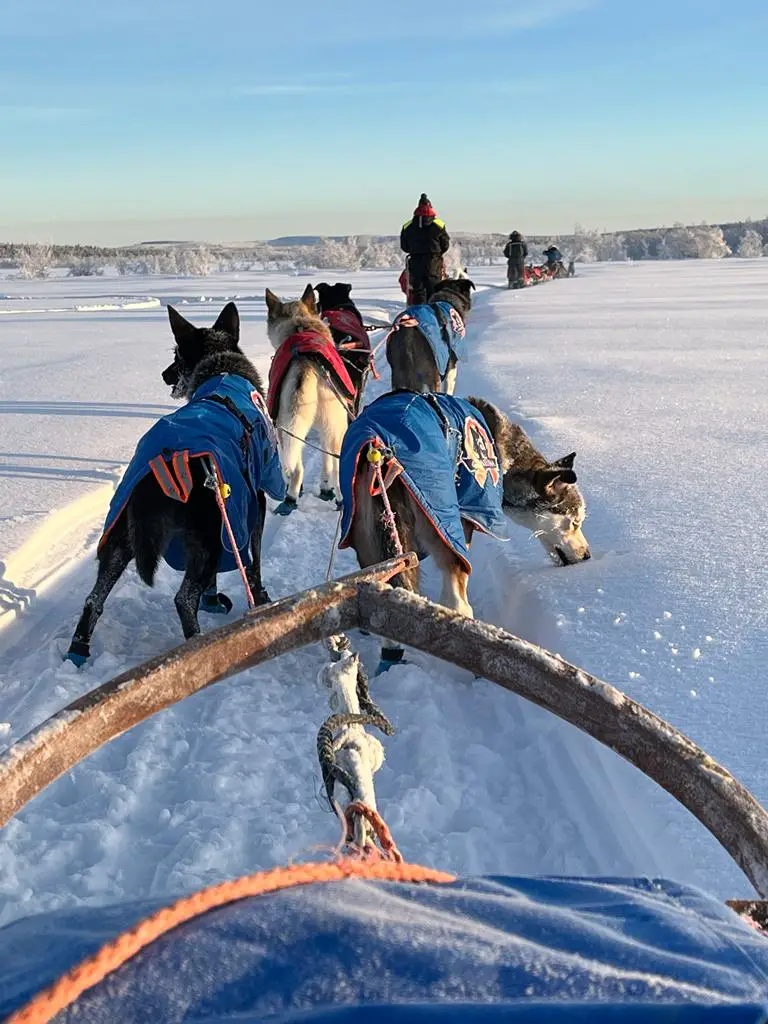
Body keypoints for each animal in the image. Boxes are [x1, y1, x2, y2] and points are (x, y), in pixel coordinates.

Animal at [266, 284, 356, 512]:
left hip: (290, 427)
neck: (300, 325)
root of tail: (305, 363)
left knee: (297, 468)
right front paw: (325, 488)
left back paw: (291, 496)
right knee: (333, 464)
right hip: (333, 426)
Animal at [339, 387, 593, 667]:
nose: (587, 555)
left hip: (368, 539)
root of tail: (380, 450)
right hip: (444, 523)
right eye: (575, 521)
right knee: (458, 602)